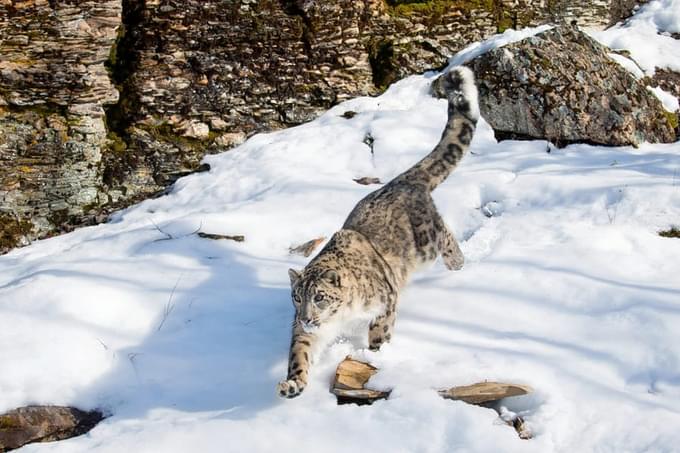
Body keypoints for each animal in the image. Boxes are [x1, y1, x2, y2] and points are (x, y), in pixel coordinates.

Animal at [276, 65, 478, 398]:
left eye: (320, 296)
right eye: (296, 296)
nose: (307, 317)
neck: (342, 317)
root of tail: (400, 180)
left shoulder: (386, 300)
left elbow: (380, 331)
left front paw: (375, 355)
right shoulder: (306, 333)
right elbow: (300, 353)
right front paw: (293, 383)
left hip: (425, 243)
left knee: (445, 234)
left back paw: (458, 264)